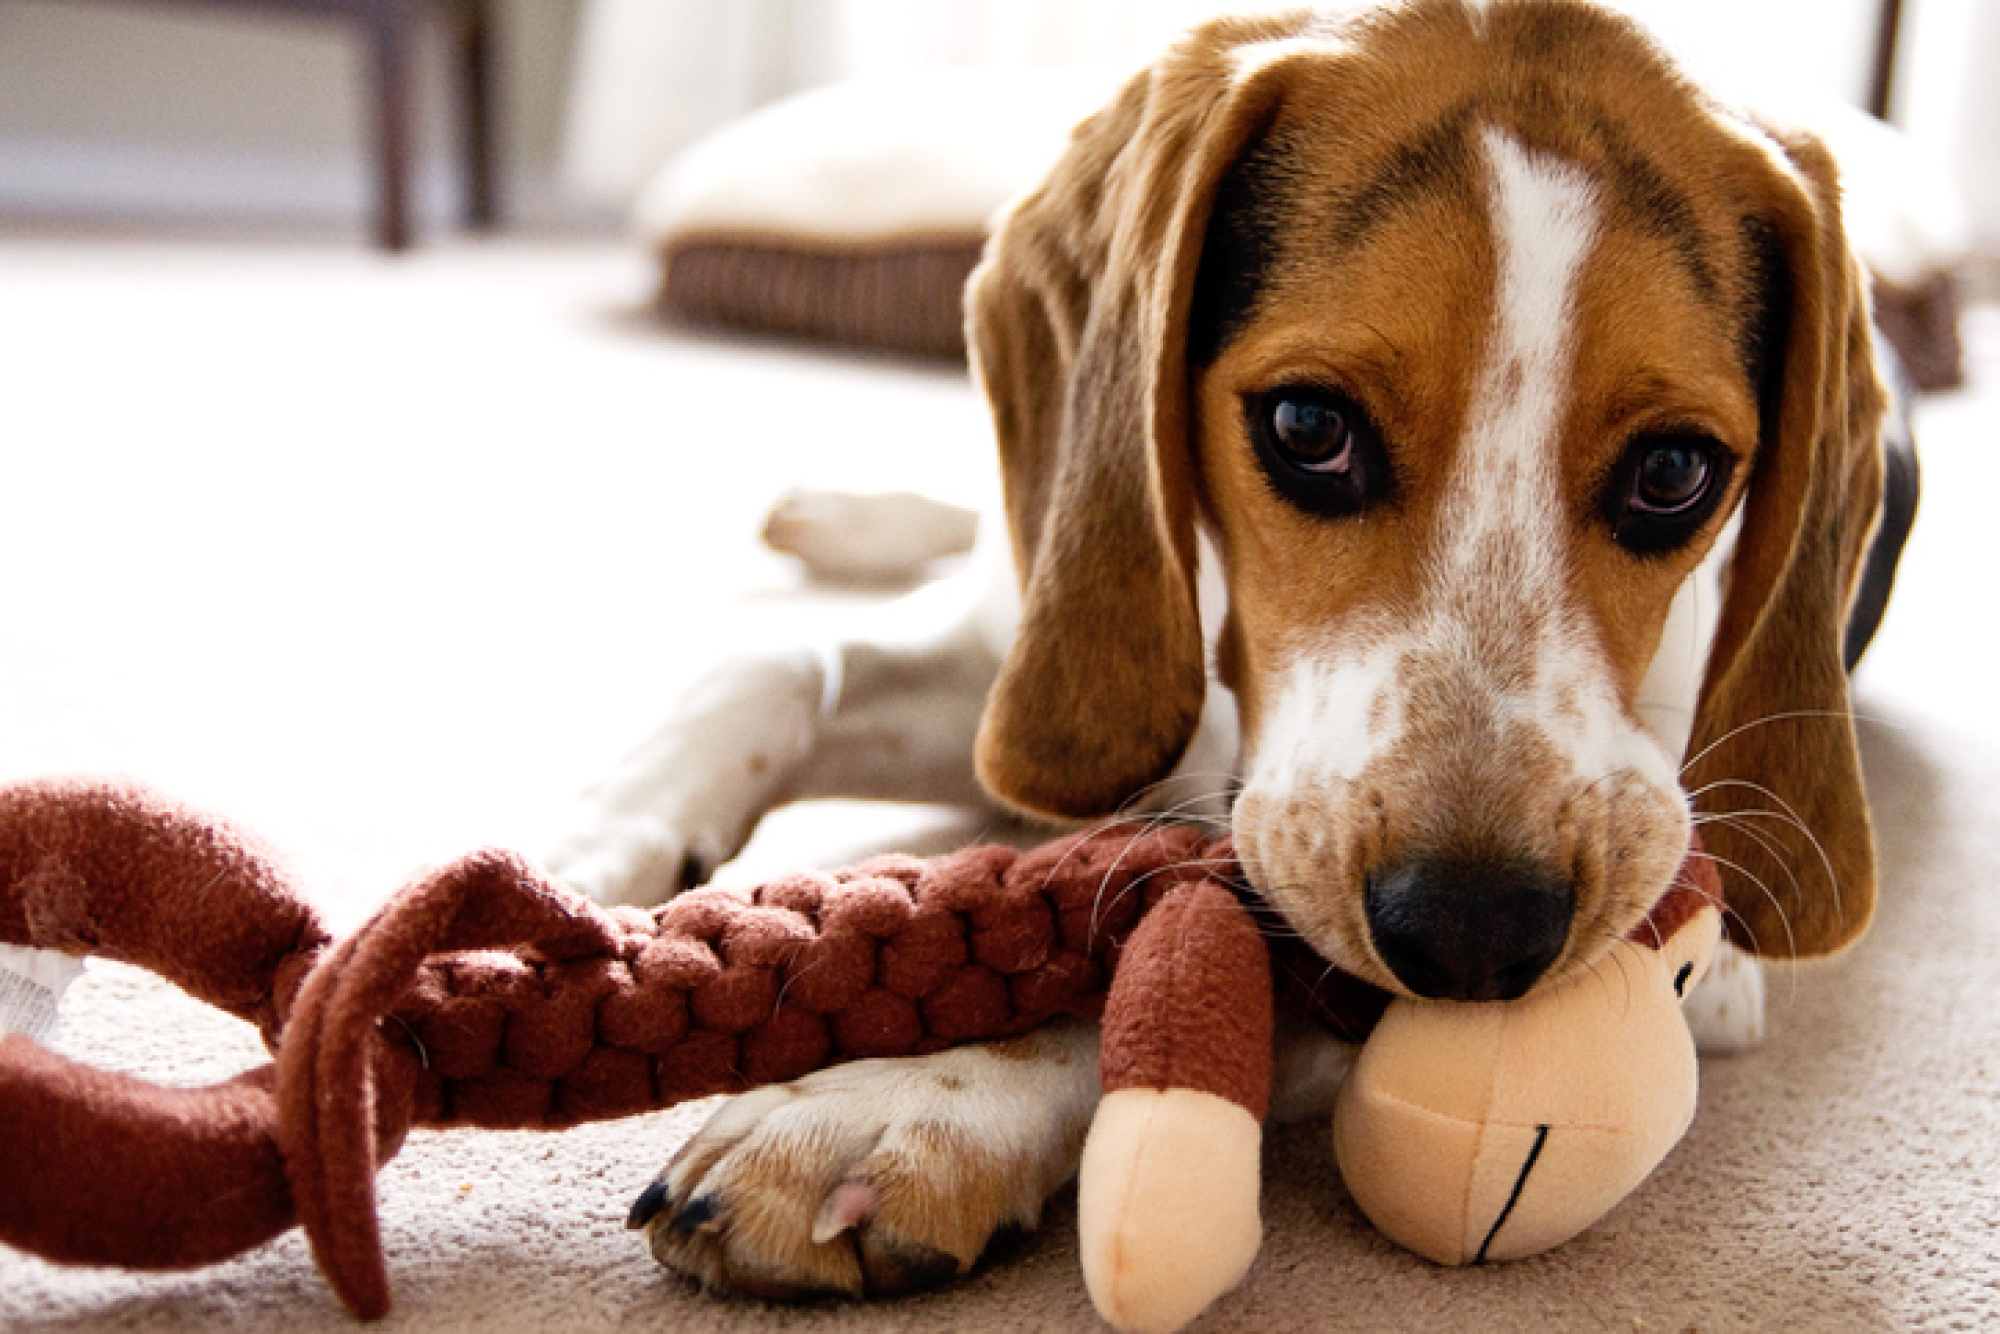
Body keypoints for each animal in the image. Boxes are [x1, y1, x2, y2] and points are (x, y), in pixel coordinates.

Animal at [552, 0, 1920, 1296]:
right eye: (1307, 426)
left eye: (1675, 472)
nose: (1471, 936)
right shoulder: (1057, 685)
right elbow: (771, 666)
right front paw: (585, 855)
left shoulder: (1696, 941)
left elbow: (1195, 951)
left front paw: (895, 1100)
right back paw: (842, 516)